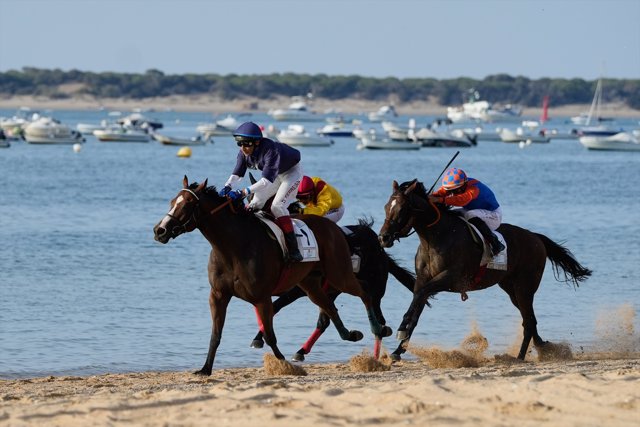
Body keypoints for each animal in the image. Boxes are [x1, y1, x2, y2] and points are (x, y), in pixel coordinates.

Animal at [154, 176, 392, 376]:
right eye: (172, 201)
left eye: (186, 204)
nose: (160, 230)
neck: (233, 247)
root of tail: (335, 229)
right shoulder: (218, 295)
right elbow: (216, 334)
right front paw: (205, 369)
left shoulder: (262, 297)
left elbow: (269, 335)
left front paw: (284, 365)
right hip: (311, 284)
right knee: (329, 309)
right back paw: (350, 334)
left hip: (338, 274)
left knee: (365, 293)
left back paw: (377, 330)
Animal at [248, 219, 418, 362]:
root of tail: (381, 251)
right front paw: (260, 337)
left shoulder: (297, 289)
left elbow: (275, 307)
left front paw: (258, 338)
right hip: (332, 291)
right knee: (324, 320)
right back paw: (301, 351)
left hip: (374, 290)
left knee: (379, 319)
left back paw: (376, 352)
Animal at [378, 179, 592, 362]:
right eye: (386, 206)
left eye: (402, 209)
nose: (383, 238)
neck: (436, 237)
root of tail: (536, 237)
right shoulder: (423, 280)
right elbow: (416, 308)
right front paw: (398, 350)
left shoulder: (450, 278)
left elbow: (419, 298)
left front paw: (401, 329)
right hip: (511, 288)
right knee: (530, 320)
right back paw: (543, 348)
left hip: (525, 287)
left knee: (529, 321)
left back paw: (520, 357)